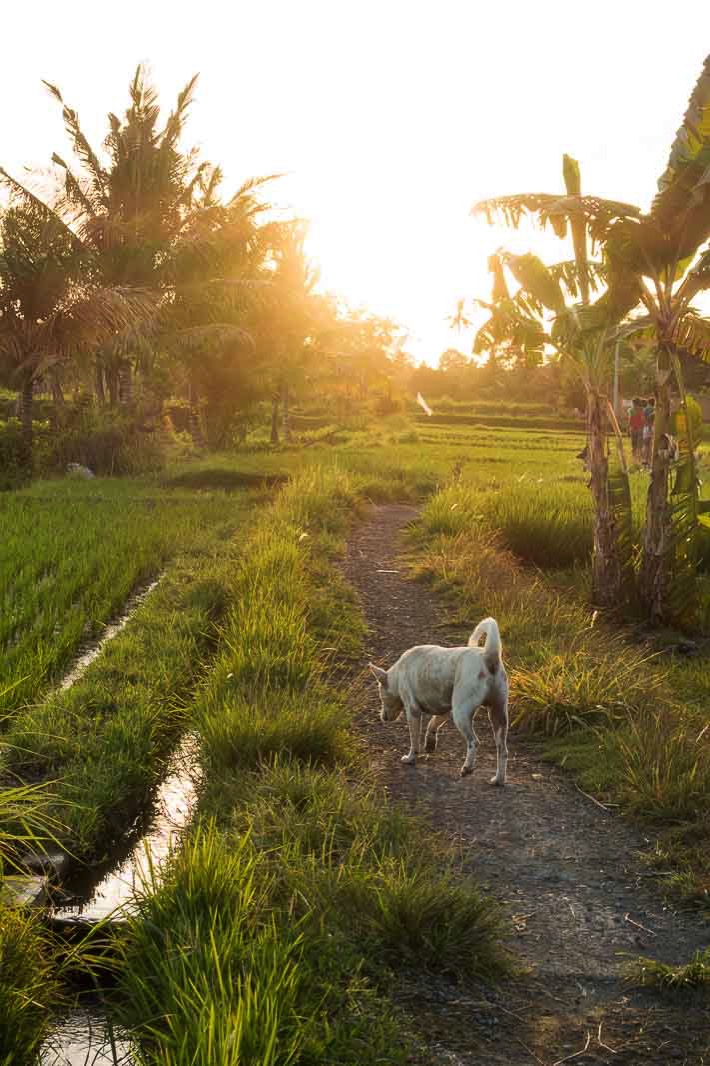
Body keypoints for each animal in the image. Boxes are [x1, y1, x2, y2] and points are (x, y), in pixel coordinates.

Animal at [366, 618, 505, 784]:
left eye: (381, 696)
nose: (383, 717)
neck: (398, 674)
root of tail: (489, 656)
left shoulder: (413, 711)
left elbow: (414, 740)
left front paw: (410, 758)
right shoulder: (447, 709)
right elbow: (432, 724)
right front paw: (430, 744)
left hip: (462, 715)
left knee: (474, 742)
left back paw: (467, 768)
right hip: (497, 715)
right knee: (502, 750)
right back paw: (498, 779)